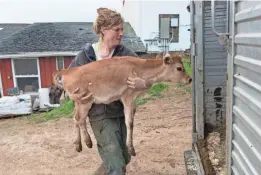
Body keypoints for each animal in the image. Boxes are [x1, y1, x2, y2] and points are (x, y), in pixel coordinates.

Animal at [52, 54, 191, 157]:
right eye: (179, 68)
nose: (189, 79)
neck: (139, 68)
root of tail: (68, 71)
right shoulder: (127, 97)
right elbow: (130, 123)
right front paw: (131, 149)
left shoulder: (133, 100)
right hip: (85, 101)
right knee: (79, 119)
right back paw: (88, 142)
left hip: (78, 102)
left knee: (74, 119)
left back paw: (78, 145)